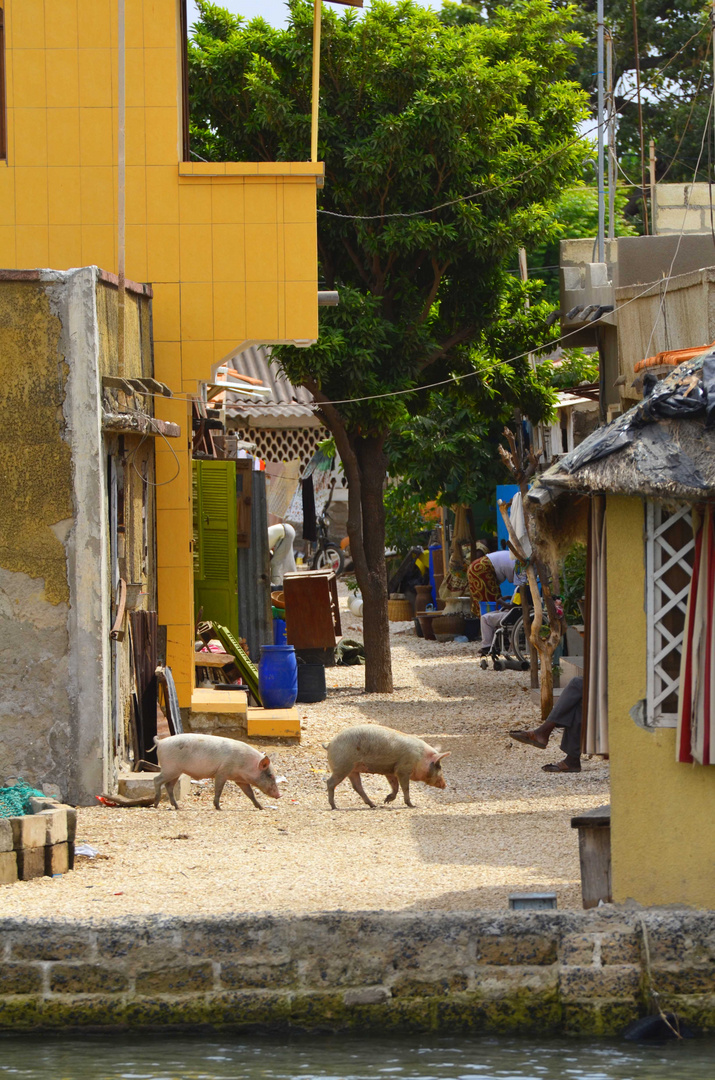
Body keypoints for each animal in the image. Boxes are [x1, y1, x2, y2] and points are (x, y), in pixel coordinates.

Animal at [154, 734, 282, 812]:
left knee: (168, 786)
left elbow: (250, 793)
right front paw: (219, 808)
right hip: (170, 769)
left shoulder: (240, 780)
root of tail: (160, 742)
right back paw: (155, 805)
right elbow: (219, 790)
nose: (279, 795)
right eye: (270, 775)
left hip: (176, 772)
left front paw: (262, 808)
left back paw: (177, 807)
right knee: (157, 780)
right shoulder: (222, 772)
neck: (246, 764)